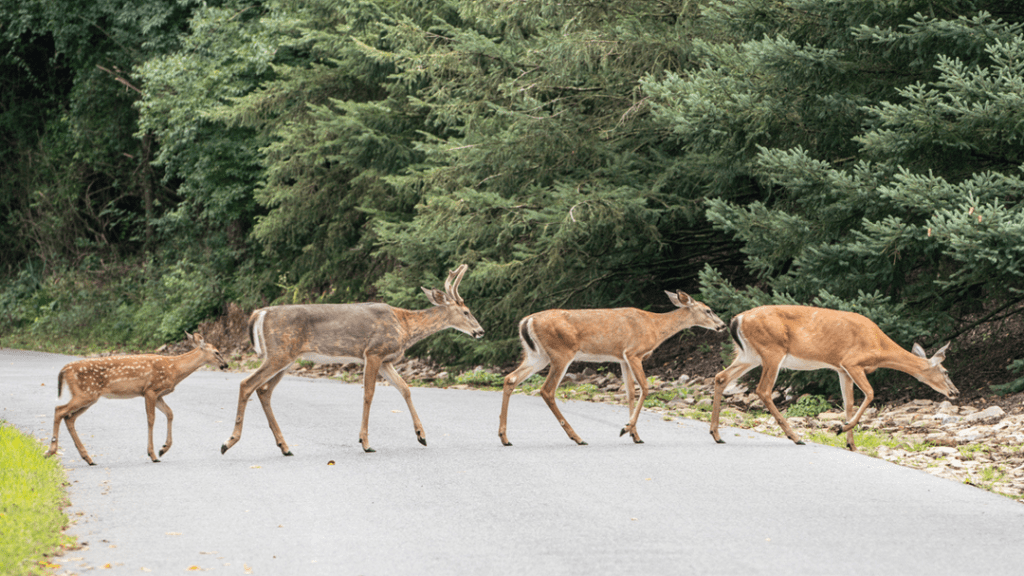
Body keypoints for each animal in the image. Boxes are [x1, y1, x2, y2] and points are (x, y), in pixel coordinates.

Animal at [44, 330, 228, 463]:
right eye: (217, 352)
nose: (225, 365)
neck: (174, 369)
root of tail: (65, 369)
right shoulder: (150, 390)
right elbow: (151, 419)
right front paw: (153, 454)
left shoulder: (158, 394)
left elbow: (170, 413)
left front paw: (163, 448)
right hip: (85, 393)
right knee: (59, 410)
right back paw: (51, 451)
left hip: (89, 397)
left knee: (69, 417)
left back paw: (87, 458)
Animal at [220, 262, 483, 455]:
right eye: (466, 311)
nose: (480, 331)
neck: (405, 326)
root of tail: (260, 312)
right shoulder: (373, 352)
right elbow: (369, 394)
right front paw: (365, 442)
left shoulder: (386, 360)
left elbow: (405, 388)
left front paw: (422, 436)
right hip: (279, 353)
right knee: (247, 383)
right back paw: (228, 442)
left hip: (287, 358)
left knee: (263, 390)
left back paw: (284, 447)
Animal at [497, 289, 724, 446]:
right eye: (708, 310)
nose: (722, 325)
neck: (655, 327)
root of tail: (527, 321)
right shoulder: (633, 353)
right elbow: (645, 388)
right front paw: (626, 429)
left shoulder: (622, 358)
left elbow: (630, 392)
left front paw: (635, 435)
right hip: (561, 353)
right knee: (547, 390)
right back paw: (577, 437)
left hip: (538, 355)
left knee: (510, 379)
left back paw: (504, 437)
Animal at [712, 305, 958, 448]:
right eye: (946, 372)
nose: (955, 392)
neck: (879, 347)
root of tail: (737, 319)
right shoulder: (852, 361)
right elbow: (870, 394)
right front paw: (841, 429)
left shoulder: (841, 369)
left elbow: (848, 403)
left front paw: (852, 445)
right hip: (772, 350)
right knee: (763, 390)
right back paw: (796, 437)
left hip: (750, 354)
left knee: (720, 377)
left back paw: (716, 434)